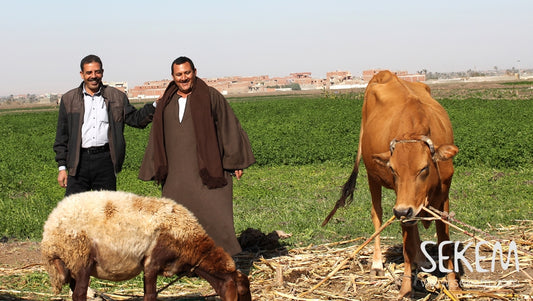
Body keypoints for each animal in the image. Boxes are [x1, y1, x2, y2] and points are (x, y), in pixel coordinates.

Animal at [39, 191, 251, 298]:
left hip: (72, 263)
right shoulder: (152, 262)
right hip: (80, 257)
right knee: (79, 294)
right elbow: (150, 296)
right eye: (241, 292)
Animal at [322, 70, 460, 298]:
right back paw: (378, 263)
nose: (403, 211)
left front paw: (454, 285)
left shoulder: (443, 195)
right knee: (377, 214)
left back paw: (421, 260)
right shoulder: (401, 199)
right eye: (393, 170)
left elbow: (445, 242)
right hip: (373, 177)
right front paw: (405, 288)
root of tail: (383, 73)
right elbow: (407, 246)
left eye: (424, 168)